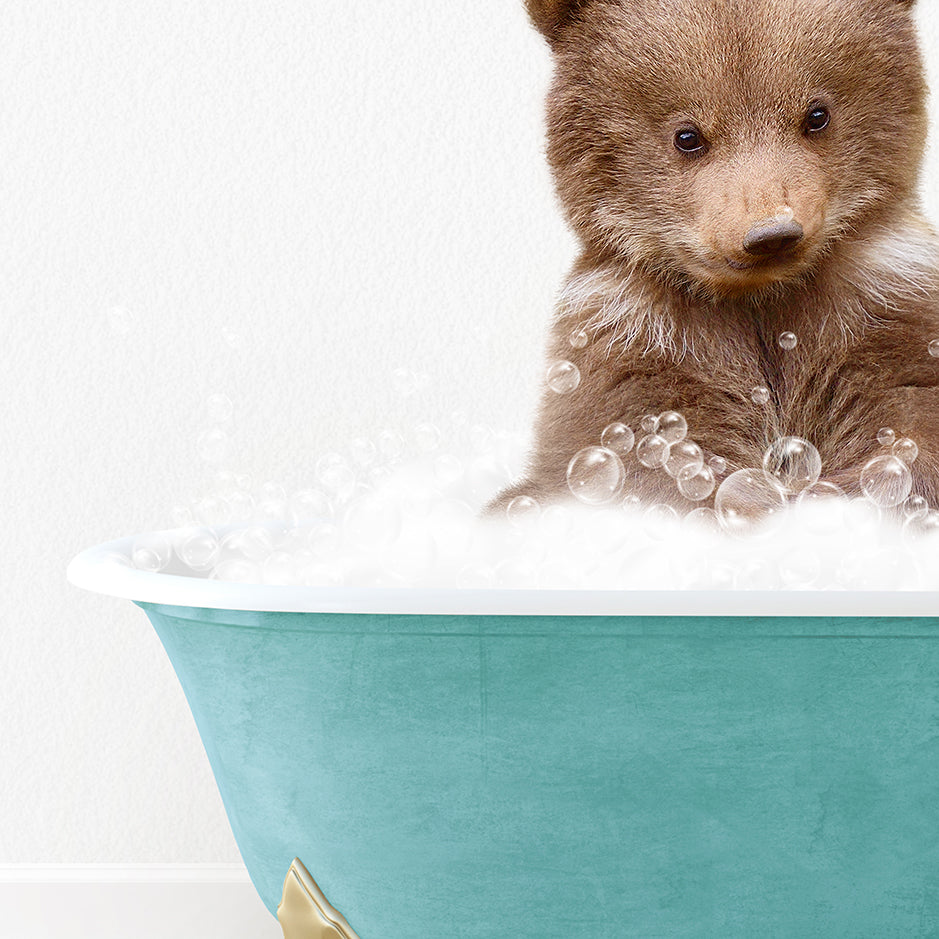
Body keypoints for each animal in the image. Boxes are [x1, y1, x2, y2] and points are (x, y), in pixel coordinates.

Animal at [492, 0, 939, 516]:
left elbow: (905, 416)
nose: (771, 234)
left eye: (817, 114)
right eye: (687, 136)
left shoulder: (882, 305)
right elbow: (656, 457)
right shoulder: (638, 344)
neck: (759, 299)